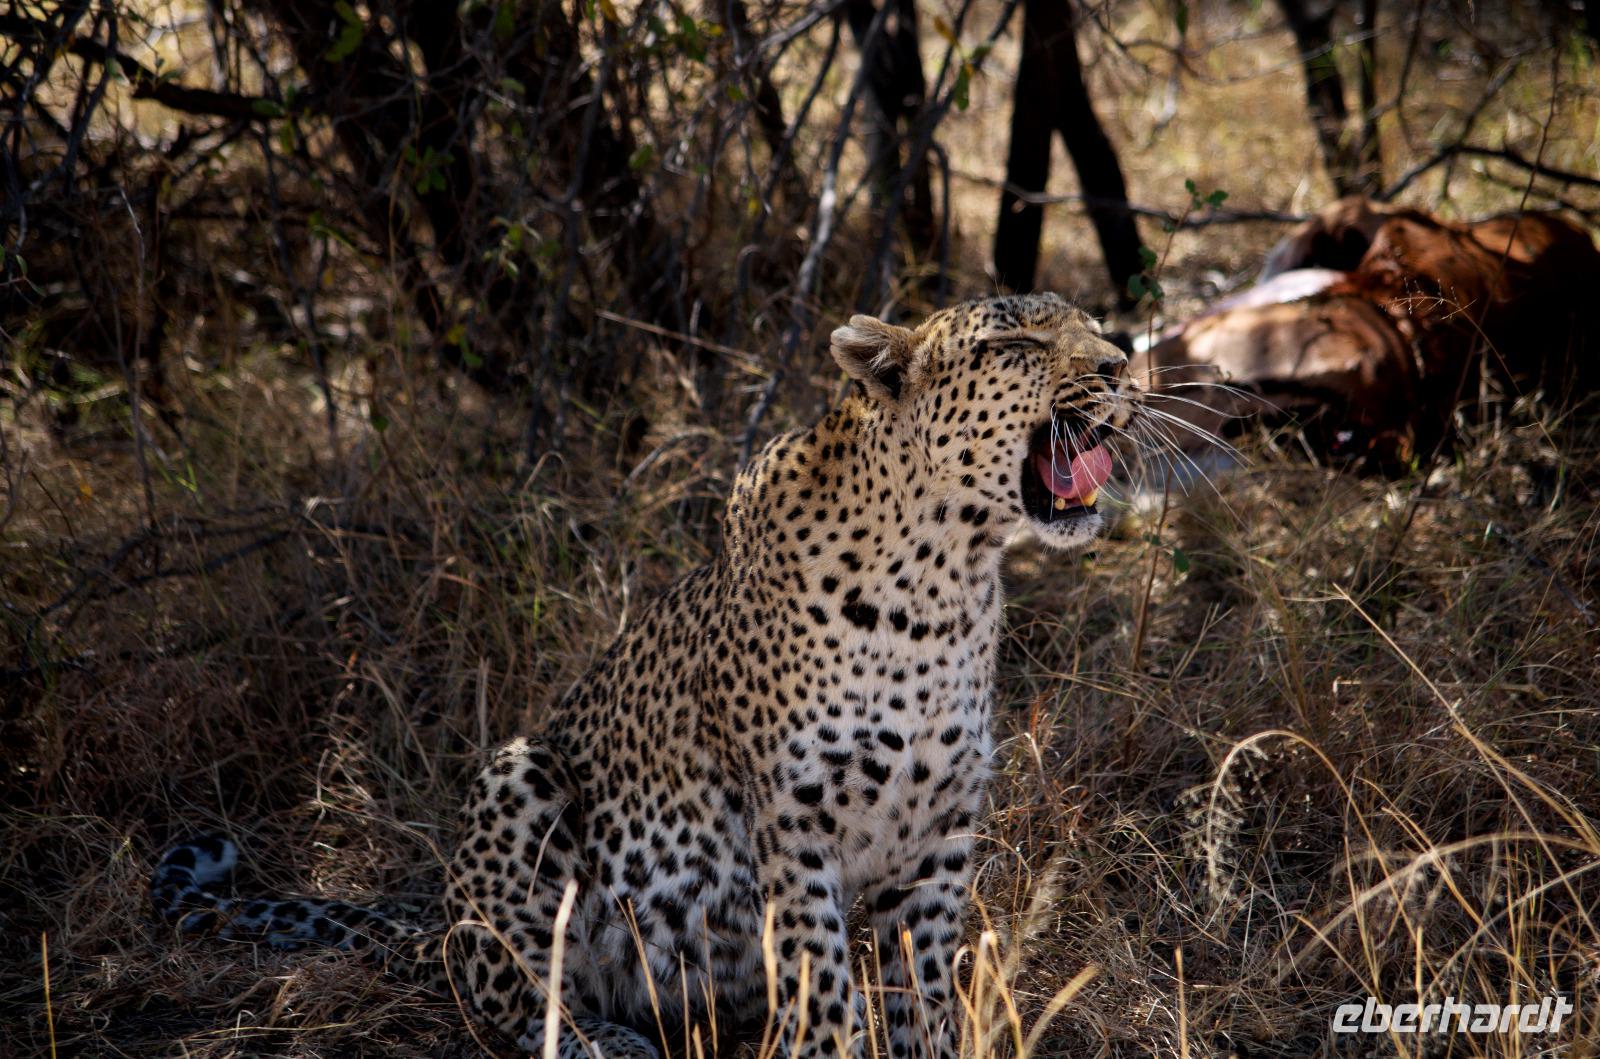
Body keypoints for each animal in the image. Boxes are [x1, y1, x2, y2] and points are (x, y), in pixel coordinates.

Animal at [151, 292, 1141, 1059]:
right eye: (1017, 348)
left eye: (1095, 327)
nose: (1124, 363)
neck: (944, 582)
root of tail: (434, 911)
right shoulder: (794, 821)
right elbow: (822, 976)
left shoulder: (937, 837)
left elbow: (923, 990)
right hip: (519, 780)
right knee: (510, 985)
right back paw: (606, 1040)